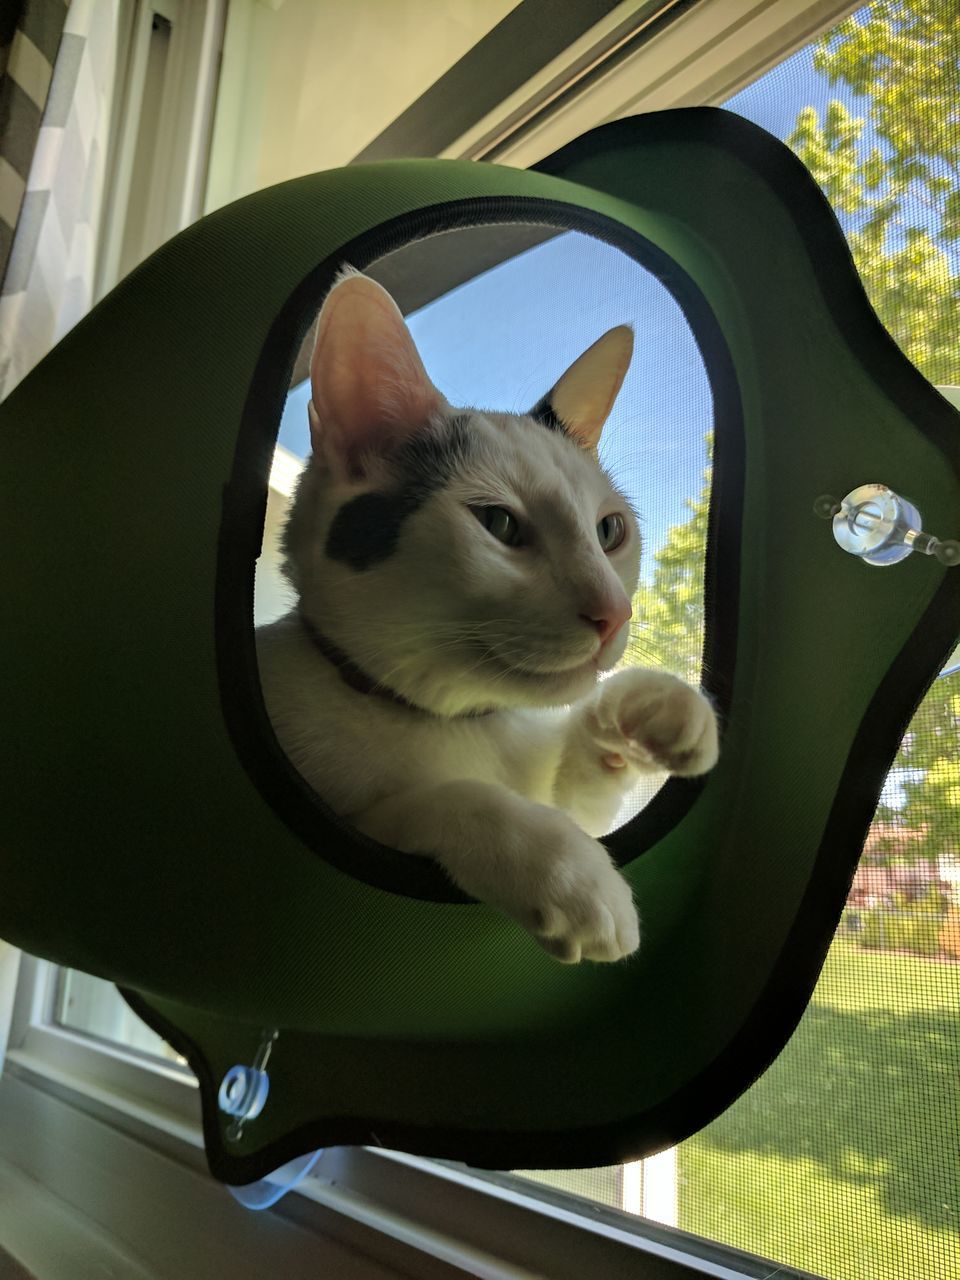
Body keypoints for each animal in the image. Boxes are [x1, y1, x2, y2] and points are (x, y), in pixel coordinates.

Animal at [257, 272, 721, 967]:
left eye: (610, 531)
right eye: (500, 524)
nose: (615, 614)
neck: (456, 722)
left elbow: (580, 798)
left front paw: (654, 707)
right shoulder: (346, 824)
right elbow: (443, 800)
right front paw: (566, 867)